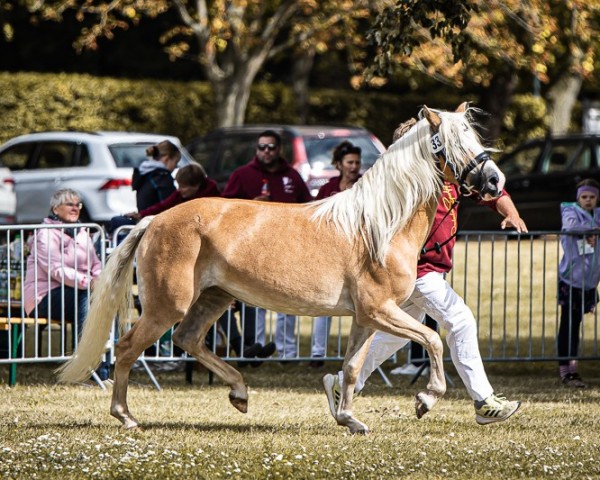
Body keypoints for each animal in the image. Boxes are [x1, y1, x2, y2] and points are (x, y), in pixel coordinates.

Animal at [57, 105, 506, 436]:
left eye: (476, 138)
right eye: (454, 143)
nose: (495, 181)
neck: (380, 224)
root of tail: (155, 220)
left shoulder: (367, 317)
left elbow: (352, 367)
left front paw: (349, 419)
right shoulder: (380, 311)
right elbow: (432, 340)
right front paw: (425, 399)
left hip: (214, 299)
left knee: (188, 339)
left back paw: (240, 393)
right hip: (167, 305)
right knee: (128, 348)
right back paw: (126, 416)